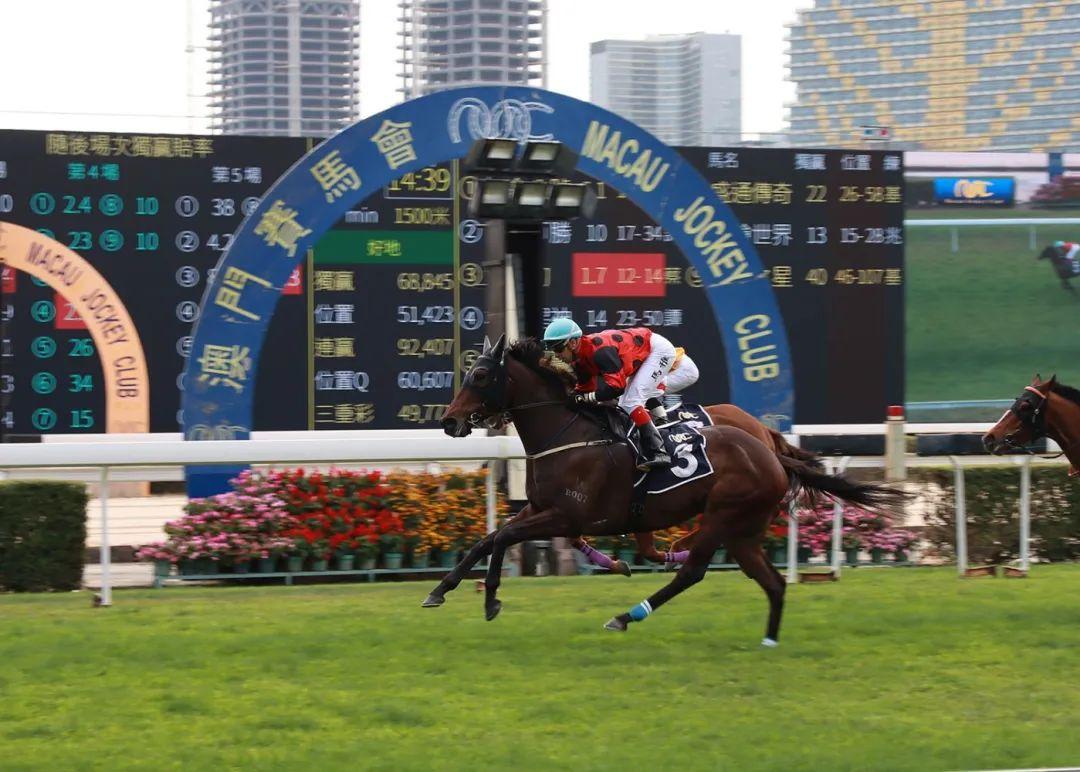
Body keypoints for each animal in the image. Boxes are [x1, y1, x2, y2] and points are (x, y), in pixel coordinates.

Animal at [426, 335, 905, 644]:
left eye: (480, 375)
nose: (449, 421)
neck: (569, 434)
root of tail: (770, 452)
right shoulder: (540, 509)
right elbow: (488, 539)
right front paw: (441, 589)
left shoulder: (566, 515)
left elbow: (502, 537)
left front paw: (490, 599)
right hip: (742, 529)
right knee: (769, 582)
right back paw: (768, 640)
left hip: (724, 515)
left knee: (693, 571)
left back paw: (627, 615)